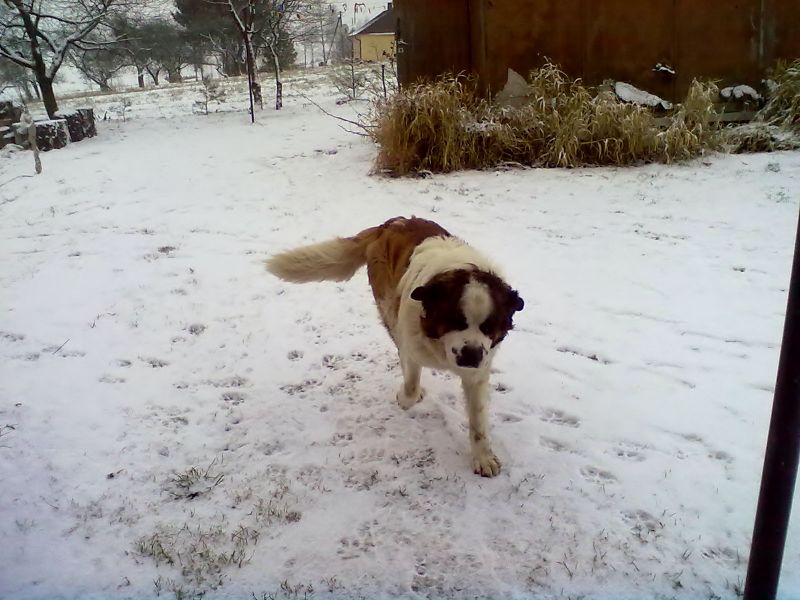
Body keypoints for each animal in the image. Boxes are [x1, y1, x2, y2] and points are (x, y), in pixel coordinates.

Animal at [266, 218, 520, 476]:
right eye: (455, 321)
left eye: (489, 327)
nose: (471, 355)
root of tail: (390, 223)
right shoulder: (411, 341)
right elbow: (411, 384)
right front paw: (406, 397)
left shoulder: (478, 369)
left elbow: (478, 419)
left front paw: (483, 457)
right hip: (388, 305)